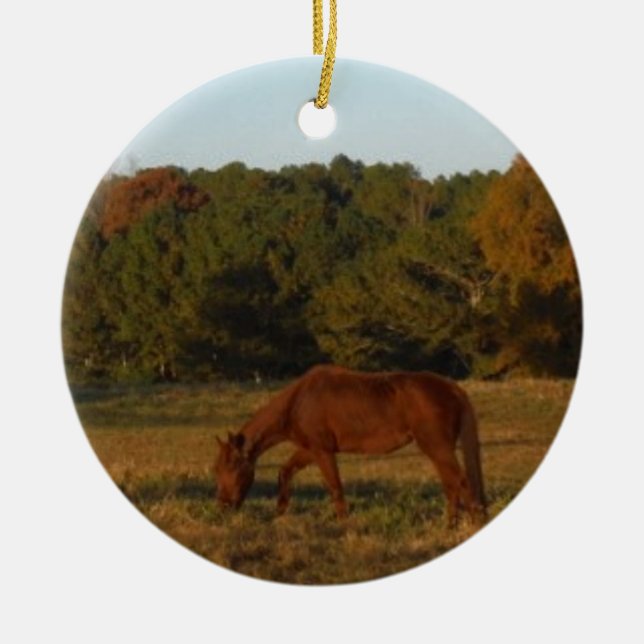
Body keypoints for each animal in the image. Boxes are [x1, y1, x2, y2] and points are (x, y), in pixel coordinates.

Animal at [214, 364, 486, 524]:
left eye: (234, 467)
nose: (224, 506)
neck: (298, 401)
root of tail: (453, 388)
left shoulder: (322, 451)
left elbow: (335, 486)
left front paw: (343, 522)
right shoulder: (310, 449)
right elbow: (285, 472)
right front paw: (279, 512)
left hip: (436, 447)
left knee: (461, 482)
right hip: (438, 450)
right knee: (451, 484)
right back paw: (450, 524)